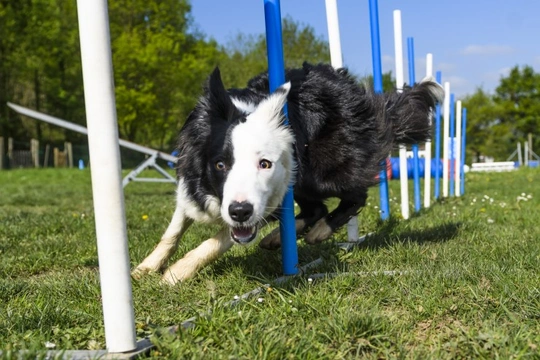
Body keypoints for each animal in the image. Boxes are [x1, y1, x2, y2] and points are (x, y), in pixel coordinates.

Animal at [132, 63, 442, 286]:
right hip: (303, 180)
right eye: (220, 165)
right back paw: (280, 237)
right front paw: (146, 267)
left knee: (355, 195)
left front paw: (178, 272)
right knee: (315, 208)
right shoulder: (191, 186)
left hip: (321, 172)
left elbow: (218, 240)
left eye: (264, 164)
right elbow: (172, 232)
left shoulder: (263, 201)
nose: (240, 211)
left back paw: (319, 231)